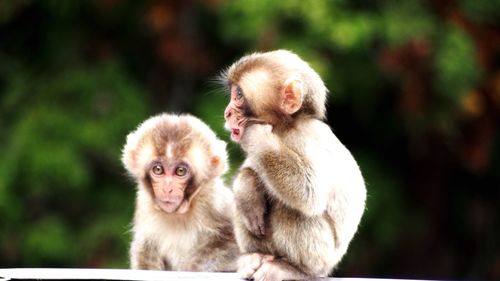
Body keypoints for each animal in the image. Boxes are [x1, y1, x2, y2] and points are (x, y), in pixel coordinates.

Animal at [121, 112, 238, 272]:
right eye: (158, 169)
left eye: (180, 171)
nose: (167, 188)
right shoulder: (144, 204)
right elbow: (144, 248)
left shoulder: (214, 201)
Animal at [223, 49, 368, 278]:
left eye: (238, 95)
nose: (227, 112)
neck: (284, 128)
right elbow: (250, 171)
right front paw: (246, 188)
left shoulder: (308, 137)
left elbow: (310, 192)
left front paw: (258, 138)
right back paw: (254, 255)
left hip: (323, 258)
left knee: (292, 209)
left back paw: (295, 269)